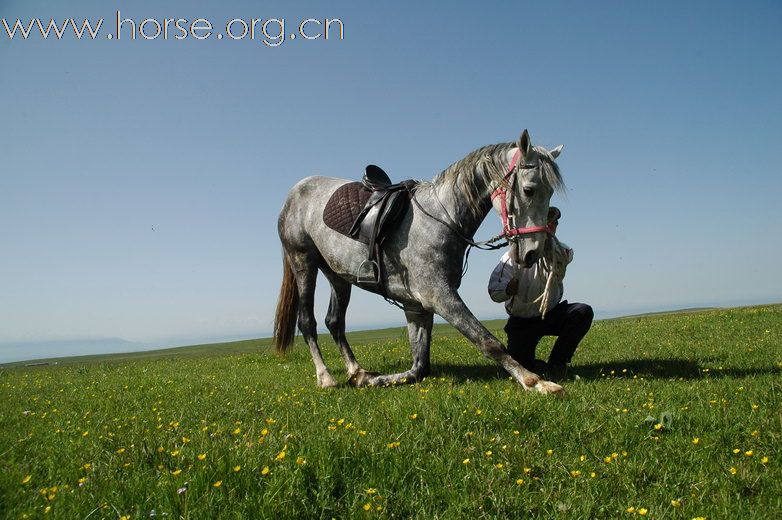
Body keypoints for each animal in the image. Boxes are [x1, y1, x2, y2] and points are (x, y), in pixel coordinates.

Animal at [272, 130, 568, 394]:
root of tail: (294, 193)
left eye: (550, 193)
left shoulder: (417, 306)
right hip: (303, 263)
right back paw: (326, 378)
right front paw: (536, 382)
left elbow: (419, 368)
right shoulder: (439, 296)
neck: (442, 218)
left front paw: (374, 380)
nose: (532, 253)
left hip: (337, 276)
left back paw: (358, 372)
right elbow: (487, 341)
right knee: (307, 322)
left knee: (335, 321)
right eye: (529, 190)